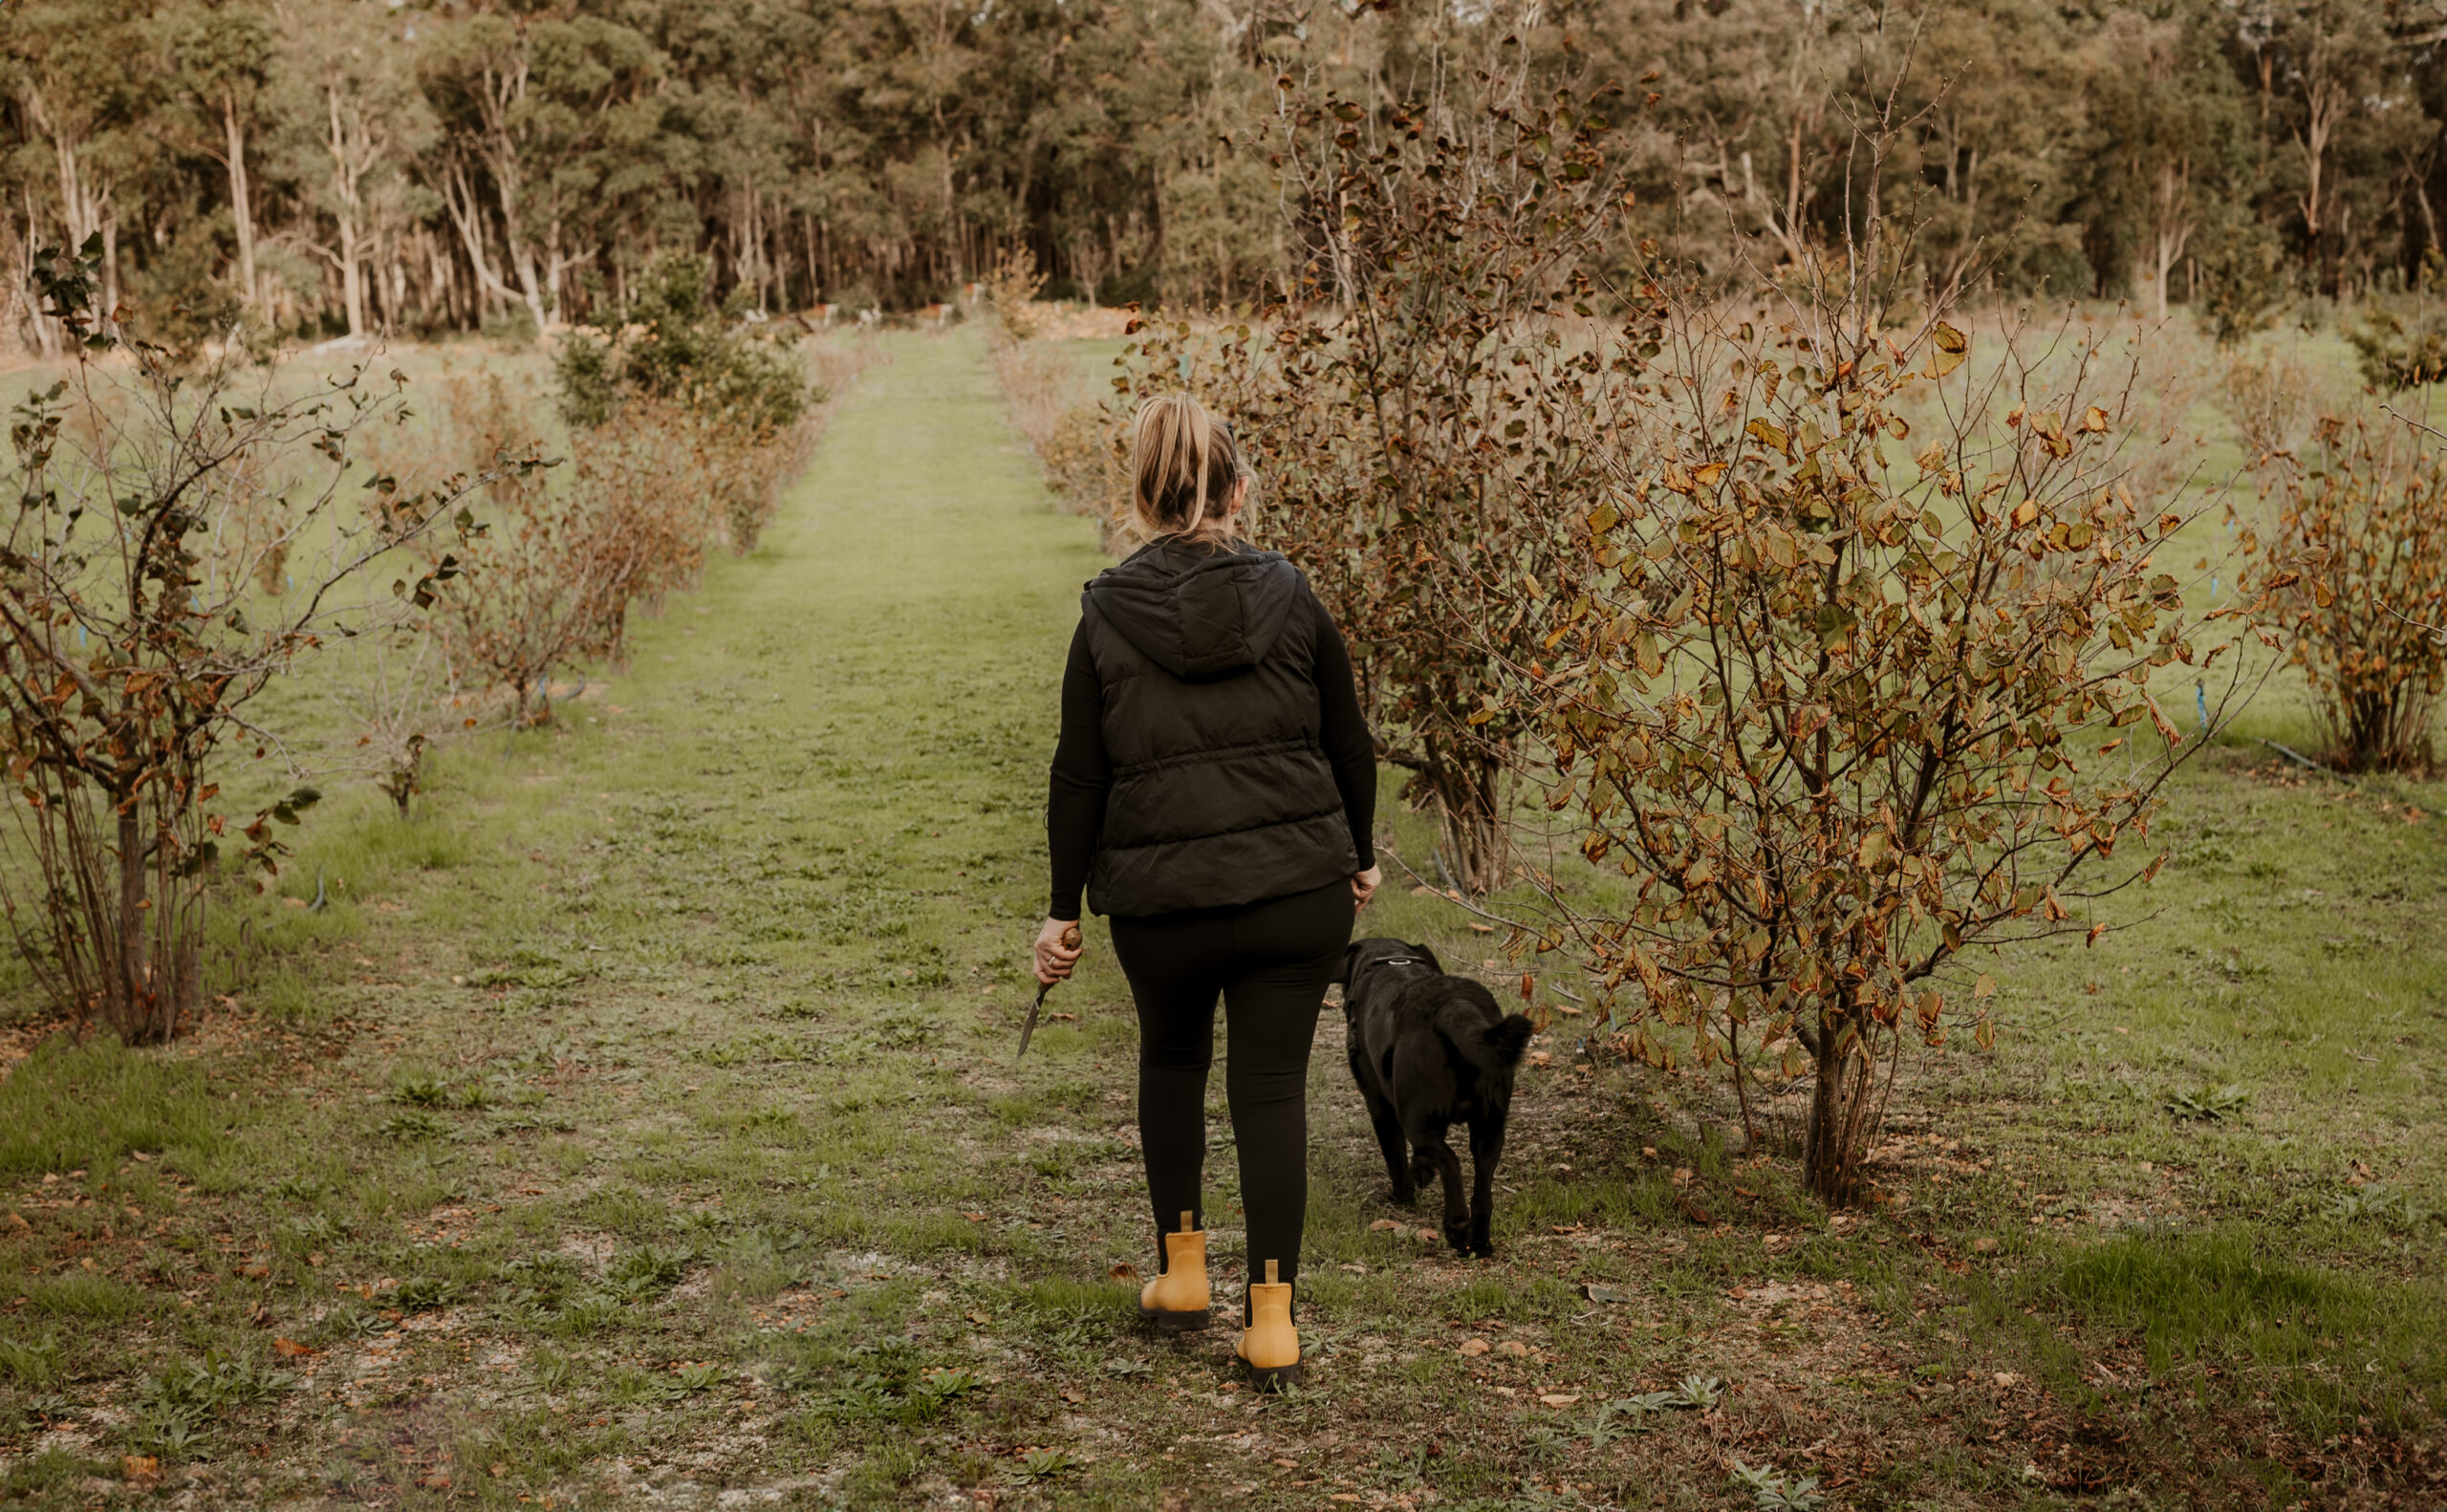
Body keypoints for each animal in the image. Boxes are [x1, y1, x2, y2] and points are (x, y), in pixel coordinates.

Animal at [1340, 934, 1527, 1252]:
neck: (1392, 959)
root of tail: (1453, 1006)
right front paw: (1422, 1172)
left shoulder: (1380, 1105)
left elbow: (1395, 1157)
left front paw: (1403, 1194)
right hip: (1490, 1127)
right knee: (1482, 1190)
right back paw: (1479, 1241)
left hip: (1416, 1119)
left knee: (1450, 1161)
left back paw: (1456, 1227)